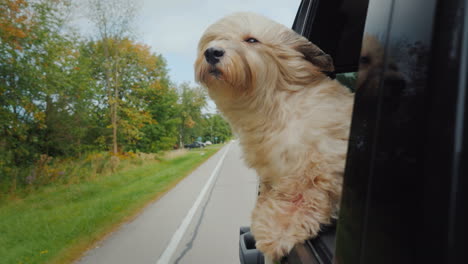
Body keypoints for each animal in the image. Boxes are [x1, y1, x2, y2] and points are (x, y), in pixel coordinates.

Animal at [196, 12, 352, 260]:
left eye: (251, 40)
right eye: (214, 39)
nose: (212, 52)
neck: (277, 103)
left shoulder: (321, 157)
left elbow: (305, 191)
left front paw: (280, 226)